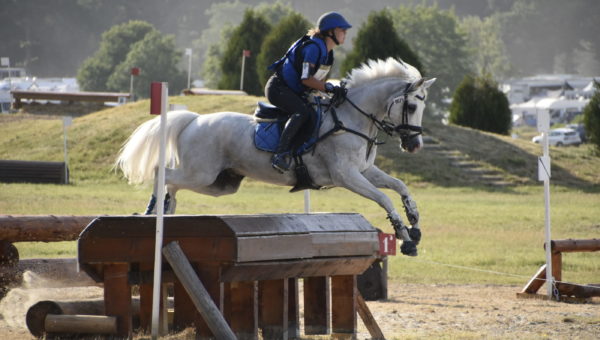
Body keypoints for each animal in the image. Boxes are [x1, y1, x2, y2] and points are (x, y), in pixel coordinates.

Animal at [116, 57, 436, 255]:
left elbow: (399, 186)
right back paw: (153, 210)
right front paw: (404, 237)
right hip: (201, 173)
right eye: (411, 106)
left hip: (219, 184)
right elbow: (383, 198)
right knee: (163, 173)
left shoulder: (365, 171)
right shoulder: (346, 176)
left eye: (421, 107)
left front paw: (414, 221)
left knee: (173, 183)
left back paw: (166, 212)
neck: (351, 118)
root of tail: (193, 119)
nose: (415, 144)